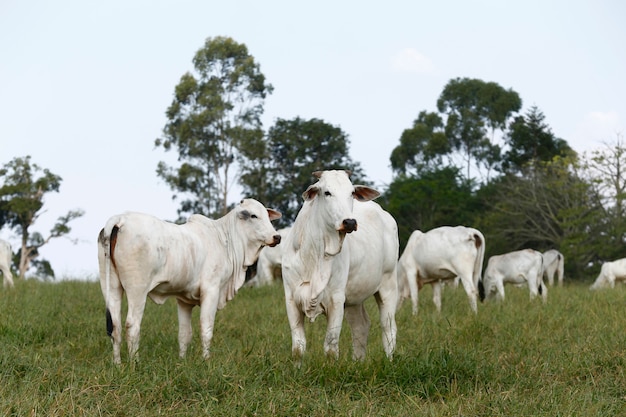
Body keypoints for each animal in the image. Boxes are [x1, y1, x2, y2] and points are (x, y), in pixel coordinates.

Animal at [97, 197, 278, 362]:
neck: (225, 239)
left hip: (111, 287)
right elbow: (206, 328)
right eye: (253, 215)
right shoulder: (211, 291)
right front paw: (206, 361)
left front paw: (182, 361)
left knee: (115, 327)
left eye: (267, 216)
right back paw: (135, 364)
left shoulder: (184, 300)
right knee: (132, 325)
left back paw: (117, 364)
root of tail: (120, 219)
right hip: (137, 290)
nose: (277, 237)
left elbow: (184, 334)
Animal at [282, 171, 398, 362]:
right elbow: (298, 348)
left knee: (388, 327)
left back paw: (389, 360)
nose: (349, 222)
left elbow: (331, 346)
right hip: (353, 299)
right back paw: (358, 362)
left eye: (352, 193)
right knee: (360, 326)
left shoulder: (336, 299)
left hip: (388, 285)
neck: (315, 254)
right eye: (327, 192)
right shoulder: (291, 299)